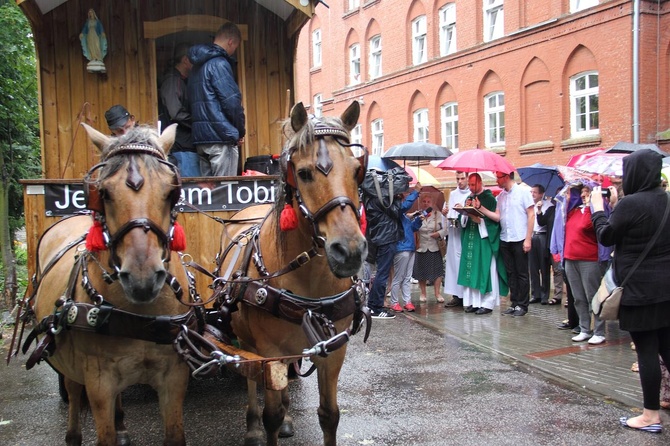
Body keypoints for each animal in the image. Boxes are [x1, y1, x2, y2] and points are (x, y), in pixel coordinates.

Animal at [21, 124, 194, 446]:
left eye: (171, 191)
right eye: (103, 192)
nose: (142, 279)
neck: (141, 316)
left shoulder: (174, 375)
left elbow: (175, 434)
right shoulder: (99, 380)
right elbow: (104, 434)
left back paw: (122, 421)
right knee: (73, 390)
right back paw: (73, 434)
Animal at [213, 102, 370, 446]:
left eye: (356, 170)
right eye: (304, 173)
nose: (350, 251)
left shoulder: (333, 350)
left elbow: (329, 416)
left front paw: (291, 416)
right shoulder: (269, 353)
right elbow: (269, 413)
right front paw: (267, 422)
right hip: (248, 340)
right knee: (250, 379)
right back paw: (252, 426)